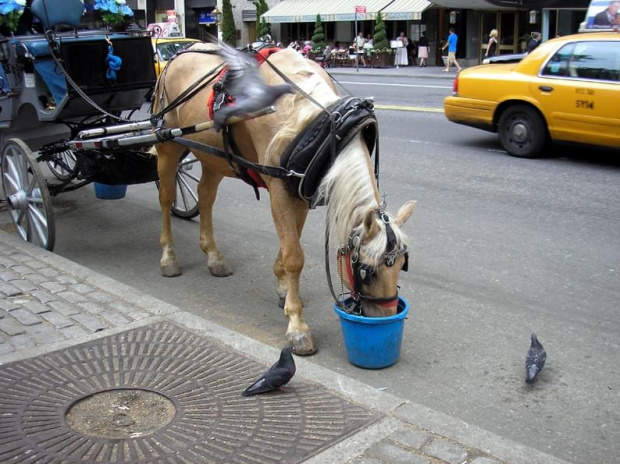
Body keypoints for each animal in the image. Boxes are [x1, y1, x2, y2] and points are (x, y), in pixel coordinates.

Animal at [151, 44, 416, 356]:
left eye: (402, 265)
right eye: (368, 271)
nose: (386, 316)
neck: (310, 121)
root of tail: (177, 55)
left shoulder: (299, 192)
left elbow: (290, 246)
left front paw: (283, 288)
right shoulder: (278, 189)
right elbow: (294, 257)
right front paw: (297, 326)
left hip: (212, 156)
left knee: (205, 197)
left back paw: (214, 256)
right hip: (168, 145)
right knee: (166, 199)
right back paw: (169, 257)